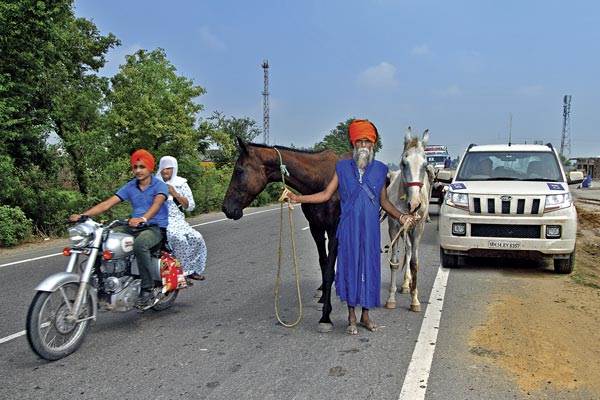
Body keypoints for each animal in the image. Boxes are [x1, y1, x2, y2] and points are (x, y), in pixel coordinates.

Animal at [223, 138, 350, 332]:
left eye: (239, 170)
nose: (226, 208)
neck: (320, 182)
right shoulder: (316, 228)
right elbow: (323, 262)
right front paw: (324, 299)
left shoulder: (334, 229)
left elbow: (329, 268)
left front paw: (326, 316)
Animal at [386, 126, 434, 310]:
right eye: (403, 163)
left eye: (425, 165)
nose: (414, 205)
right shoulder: (394, 227)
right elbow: (394, 261)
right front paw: (391, 298)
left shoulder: (418, 228)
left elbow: (414, 262)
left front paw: (415, 299)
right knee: (406, 249)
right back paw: (406, 284)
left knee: (410, 251)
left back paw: (410, 285)